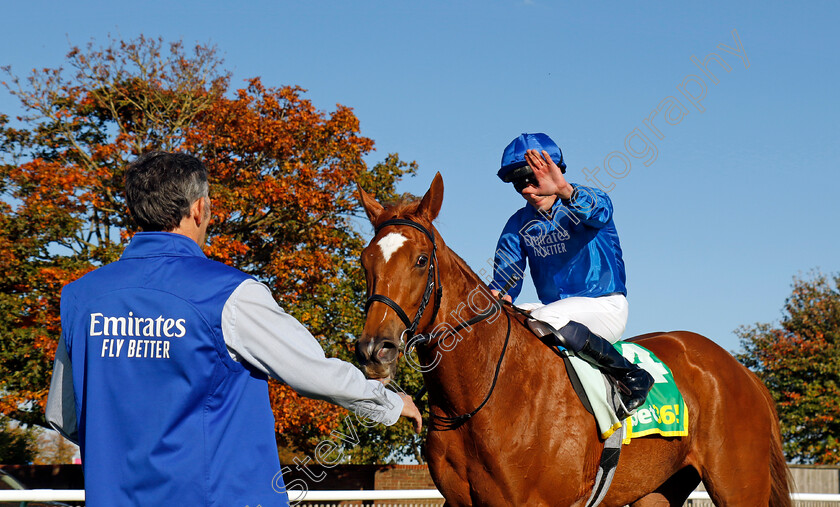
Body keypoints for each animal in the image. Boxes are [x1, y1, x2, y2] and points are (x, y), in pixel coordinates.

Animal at [354, 173, 788, 506]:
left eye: (421, 260)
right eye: (364, 261)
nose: (375, 349)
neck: (483, 397)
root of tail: (741, 370)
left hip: (738, 486)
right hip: (658, 489)